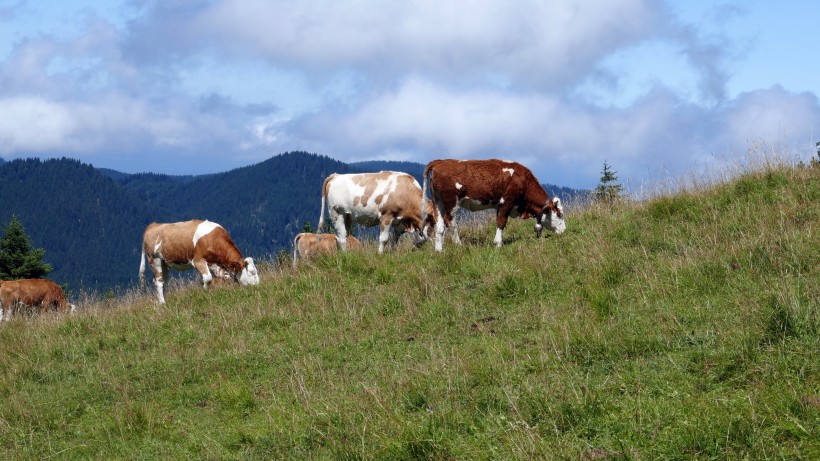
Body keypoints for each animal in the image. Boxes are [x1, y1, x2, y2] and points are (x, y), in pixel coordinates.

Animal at [422, 159, 564, 252]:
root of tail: (440, 162)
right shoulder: (507, 201)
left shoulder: (500, 205)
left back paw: (439, 250)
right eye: (559, 214)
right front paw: (498, 243)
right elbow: (501, 222)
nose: (564, 230)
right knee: (450, 222)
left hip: (437, 202)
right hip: (451, 202)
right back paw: (459, 245)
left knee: (439, 226)